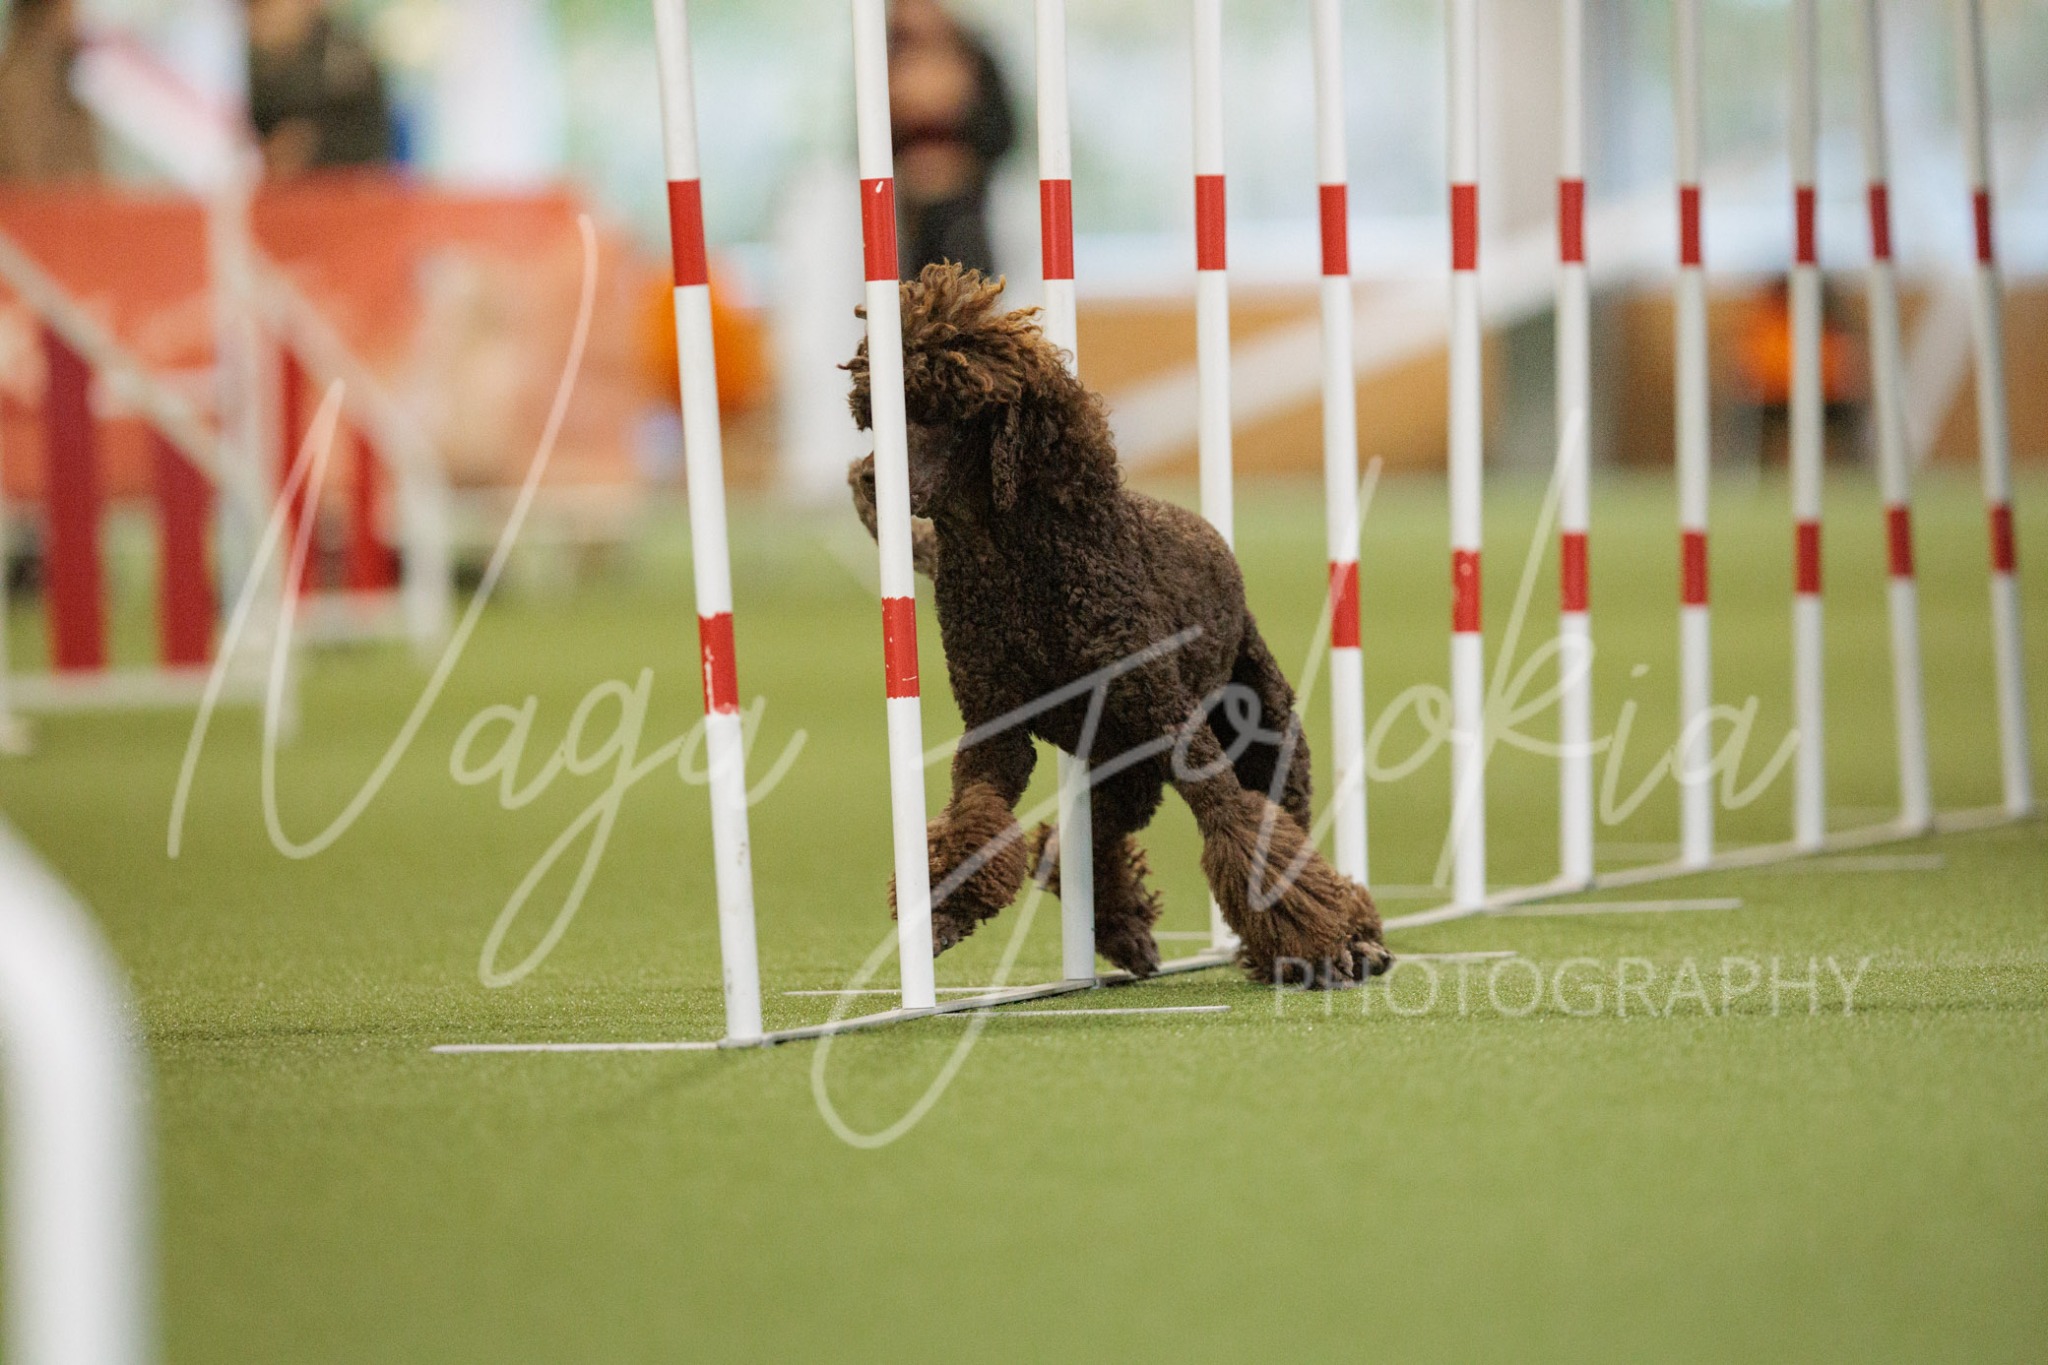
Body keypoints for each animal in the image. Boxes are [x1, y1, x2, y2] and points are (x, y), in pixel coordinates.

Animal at [846, 263, 1387, 985]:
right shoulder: (995, 730)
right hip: (1123, 761)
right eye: (877, 411)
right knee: (1076, 843)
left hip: (1260, 733)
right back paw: (1126, 931)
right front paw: (942, 912)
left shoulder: (1177, 730)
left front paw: (1327, 944)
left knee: (1282, 813)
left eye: (944, 410)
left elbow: (1242, 828)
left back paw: (1341, 939)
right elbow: (975, 820)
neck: (1014, 563)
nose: (869, 477)